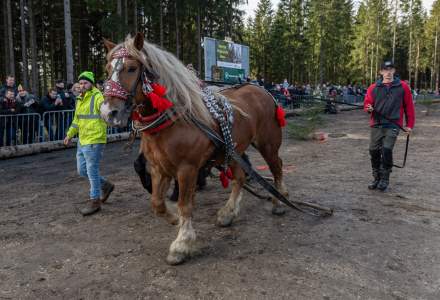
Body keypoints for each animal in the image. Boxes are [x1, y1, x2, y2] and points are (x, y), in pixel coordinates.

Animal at [101, 31, 290, 264]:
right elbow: (157, 203)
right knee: (239, 177)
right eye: (107, 69)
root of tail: (260, 88)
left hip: (268, 143)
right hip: (233, 151)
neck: (174, 119)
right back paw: (228, 213)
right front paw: (174, 219)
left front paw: (182, 244)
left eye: (131, 68)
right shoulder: (158, 168)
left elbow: (186, 204)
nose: (108, 112)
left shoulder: (187, 169)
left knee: (277, 166)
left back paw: (278, 202)